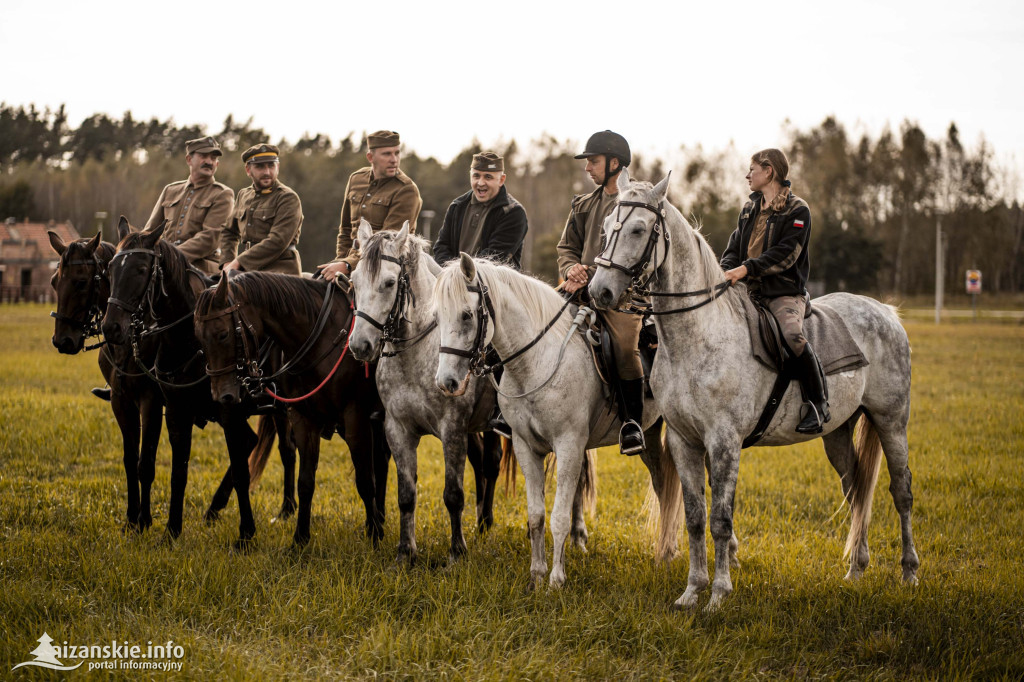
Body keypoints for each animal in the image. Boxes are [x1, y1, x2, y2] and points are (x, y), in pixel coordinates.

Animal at [195, 268, 391, 544]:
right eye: (198, 338)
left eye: (222, 334)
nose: (221, 396)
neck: (319, 339)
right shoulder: (303, 418)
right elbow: (305, 481)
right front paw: (300, 539)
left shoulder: (355, 417)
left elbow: (364, 479)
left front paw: (374, 536)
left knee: (380, 462)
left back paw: (378, 520)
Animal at [350, 220, 598, 561]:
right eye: (353, 281)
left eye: (389, 283)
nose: (360, 346)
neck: (417, 354)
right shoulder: (397, 429)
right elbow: (406, 495)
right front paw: (405, 552)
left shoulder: (452, 429)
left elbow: (453, 494)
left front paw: (457, 551)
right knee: (490, 464)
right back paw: (487, 523)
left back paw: (577, 534)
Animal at [432, 251, 679, 585]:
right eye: (437, 317)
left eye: (467, 315)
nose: (447, 382)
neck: (537, 361)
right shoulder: (526, 447)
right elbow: (536, 515)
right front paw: (536, 575)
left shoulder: (569, 446)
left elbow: (559, 516)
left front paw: (556, 580)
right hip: (651, 434)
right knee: (664, 484)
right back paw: (665, 552)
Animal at [585, 166, 921, 606]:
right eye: (607, 225)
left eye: (639, 229)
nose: (599, 291)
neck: (698, 335)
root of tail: (885, 311)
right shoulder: (683, 441)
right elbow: (695, 518)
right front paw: (691, 592)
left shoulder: (724, 442)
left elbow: (721, 520)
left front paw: (718, 595)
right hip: (838, 432)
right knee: (856, 490)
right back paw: (856, 570)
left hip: (891, 421)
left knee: (901, 491)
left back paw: (910, 572)